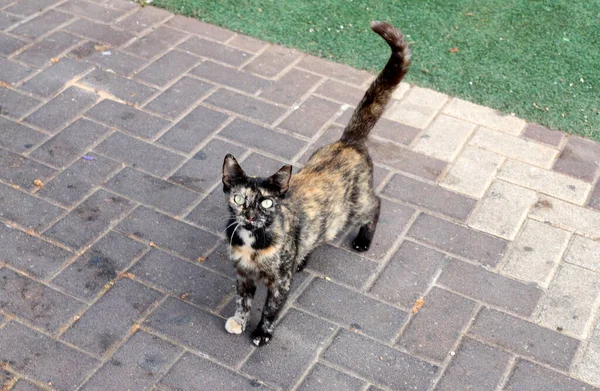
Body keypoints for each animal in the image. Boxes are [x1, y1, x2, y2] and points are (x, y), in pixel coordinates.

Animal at [223, 21, 410, 346]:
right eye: (239, 199)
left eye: (267, 201)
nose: (251, 215)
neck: (253, 243)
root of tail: (348, 141)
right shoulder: (242, 275)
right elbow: (242, 301)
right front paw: (238, 321)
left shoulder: (281, 282)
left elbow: (270, 309)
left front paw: (262, 333)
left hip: (356, 207)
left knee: (376, 204)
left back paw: (363, 240)